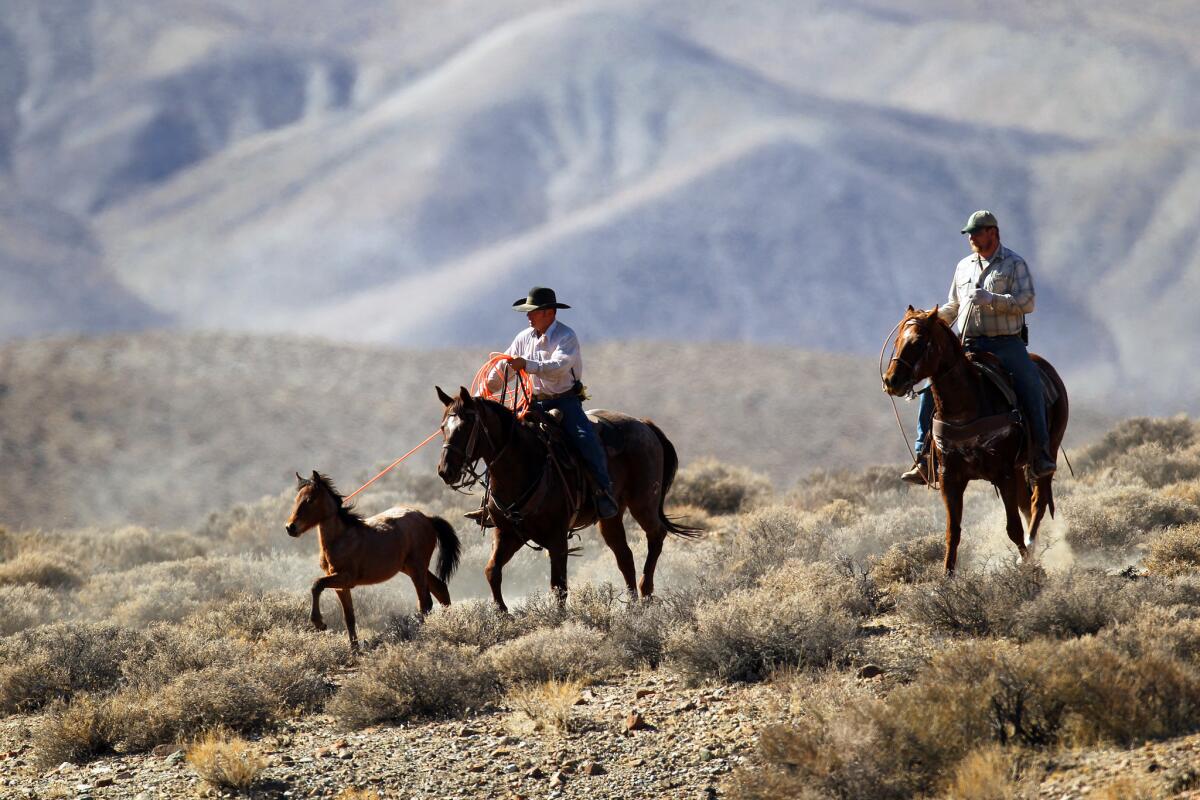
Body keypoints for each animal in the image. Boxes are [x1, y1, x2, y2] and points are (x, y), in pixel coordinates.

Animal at [283, 470, 460, 652]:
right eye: (296, 499)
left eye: (310, 500)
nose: (290, 527)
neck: (341, 538)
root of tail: (427, 518)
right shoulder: (341, 586)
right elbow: (349, 616)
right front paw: (355, 650)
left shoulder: (345, 578)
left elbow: (316, 584)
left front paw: (319, 623)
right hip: (411, 568)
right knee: (440, 589)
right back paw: (448, 625)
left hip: (417, 568)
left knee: (425, 603)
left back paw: (421, 636)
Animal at [434, 383, 700, 609]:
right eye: (443, 427)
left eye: (466, 425)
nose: (445, 471)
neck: (524, 463)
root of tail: (645, 425)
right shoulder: (508, 533)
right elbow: (492, 571)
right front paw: (502, 613)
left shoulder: (557, 538)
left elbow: (559, 586)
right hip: (611, 517)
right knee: (624, 556)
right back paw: (632, 604)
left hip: (643, 502)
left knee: (656, 535)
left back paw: (646, 592)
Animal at [883, 307, 1070, 575]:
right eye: (897, 341)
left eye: (918, 342)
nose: (891, 381)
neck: (965, 407)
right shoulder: (950, 478)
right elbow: (953, 533)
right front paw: (946, 578)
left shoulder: (1003, 474)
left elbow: (1013, 528)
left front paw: (1025, 563)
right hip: (1017, 468)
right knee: (1026, 502)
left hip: (1046, 453)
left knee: (1038, 502)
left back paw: (1032, 544)